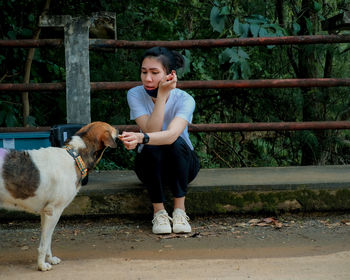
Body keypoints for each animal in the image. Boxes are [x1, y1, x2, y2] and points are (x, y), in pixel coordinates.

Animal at [0, 121, 118, 270]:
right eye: (111, 128)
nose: (119, 129)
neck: (75, 156)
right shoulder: (54, 212)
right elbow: (44, 244)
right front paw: (42, 265)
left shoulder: (45, 213)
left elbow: (48, 240)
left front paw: (49, 259)